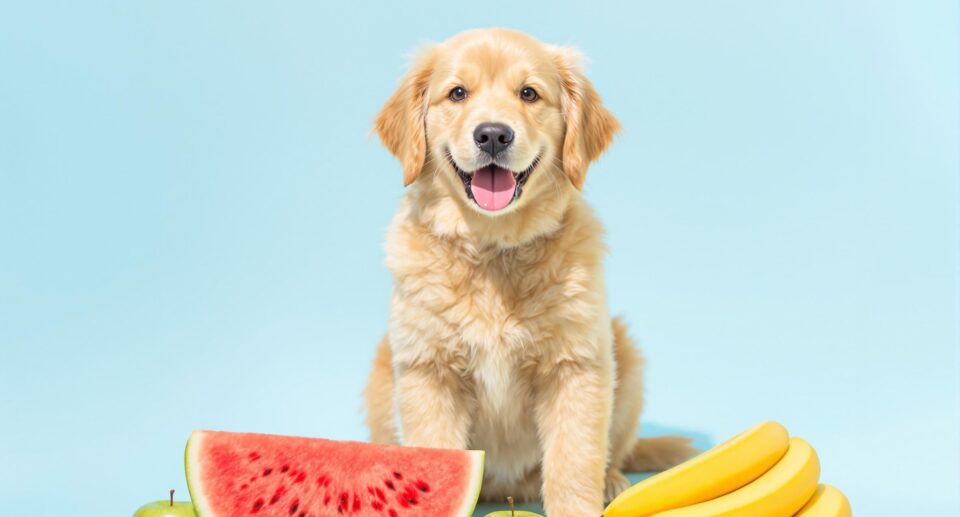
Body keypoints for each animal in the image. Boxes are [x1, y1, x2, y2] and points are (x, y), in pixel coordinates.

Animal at [364, 29, 692, 516]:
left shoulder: (576, 366)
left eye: (529, 94)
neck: (495, 247)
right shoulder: (428, 371)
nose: (493, 134)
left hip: (624, 357)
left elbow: (574, 461)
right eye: (457, 93)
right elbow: (434, 449)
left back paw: (613, 481)